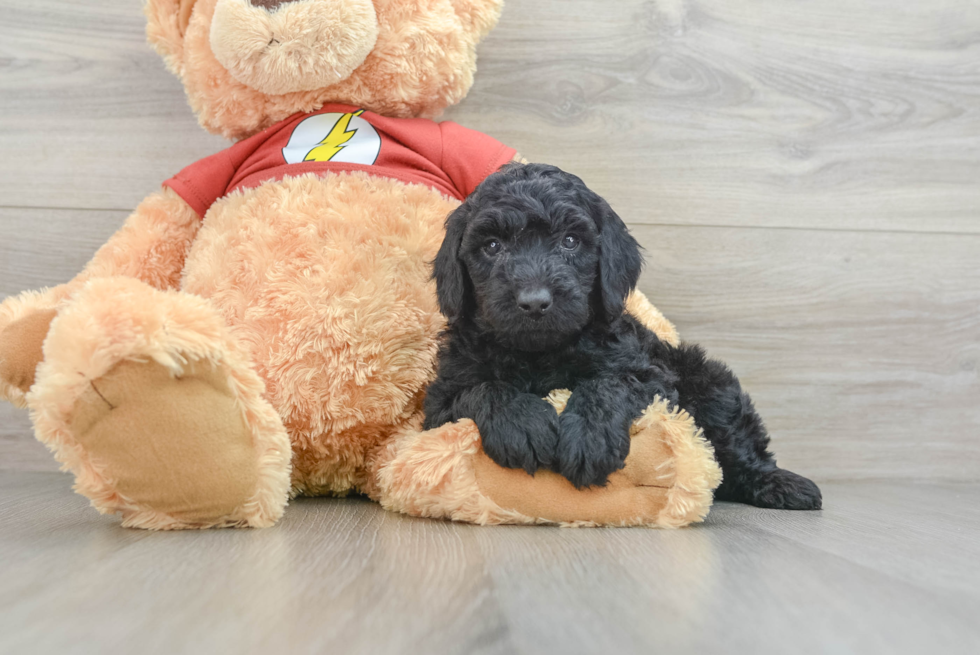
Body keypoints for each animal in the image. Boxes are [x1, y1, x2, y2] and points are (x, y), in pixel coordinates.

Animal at [424, 164, 824, 512]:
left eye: (570, 241)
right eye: (492, 246)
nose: (535, 301)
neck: (540, 353)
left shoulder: (650, 376)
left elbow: (610, 383)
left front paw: (590, 437)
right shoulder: (439, 404)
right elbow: (481, 389)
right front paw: (524, 423)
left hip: (710, 384)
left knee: (739, 447)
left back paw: (782, 485)